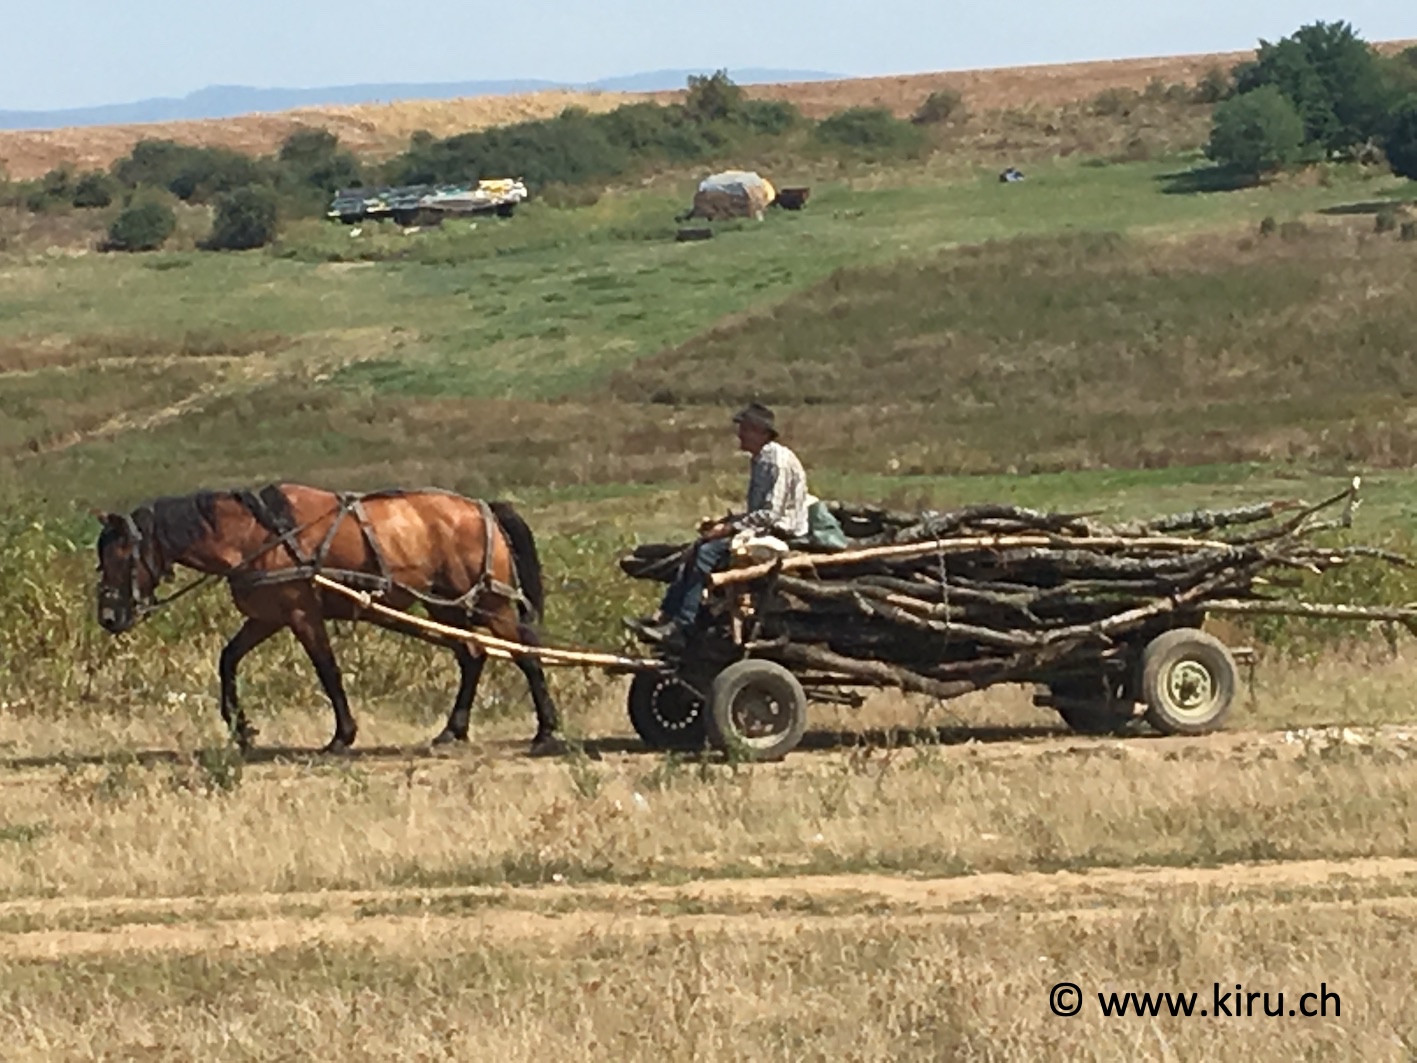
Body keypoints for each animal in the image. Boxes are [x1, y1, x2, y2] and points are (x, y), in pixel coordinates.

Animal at [87, 481, 563, 759]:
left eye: (123, 555)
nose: (109, 617)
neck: (256, 535)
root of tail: (483, 509)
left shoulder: (301, 613)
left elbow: (327, 671)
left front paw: (342, 736)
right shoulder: (268, 617)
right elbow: (228, 659)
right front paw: (242, 729)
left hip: (490, 604)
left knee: (525, 652)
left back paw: (545, 730)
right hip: (444, 605)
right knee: (472, 653)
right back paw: (453, 730)